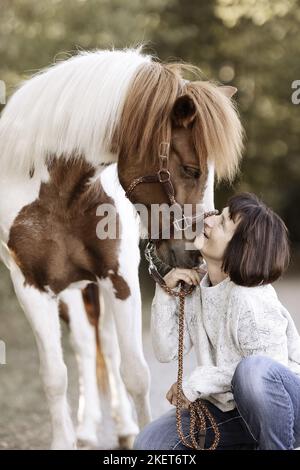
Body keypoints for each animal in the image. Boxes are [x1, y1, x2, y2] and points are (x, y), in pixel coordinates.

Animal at [0, 46, 244, 448]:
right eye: (191, 170)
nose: (196, 256)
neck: (60, 196)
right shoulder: (32, 288)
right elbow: (55, 376)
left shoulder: (120, 279)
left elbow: (134, 372)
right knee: (86, 348)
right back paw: (86, 428)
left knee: (107, 348)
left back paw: (124, 427)